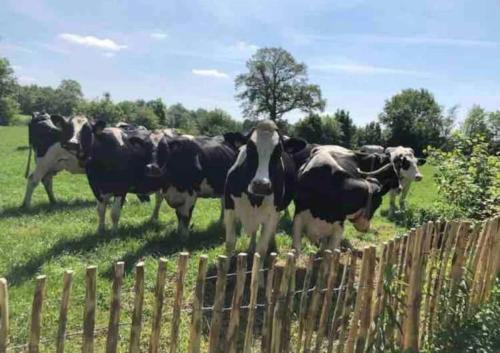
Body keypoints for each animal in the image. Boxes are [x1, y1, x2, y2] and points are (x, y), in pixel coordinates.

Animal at [224, 119, 308, 254]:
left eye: (279, 151)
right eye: (249, 148)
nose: (261, 185)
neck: (254, 199)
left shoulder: (271, 215)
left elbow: (261, 249)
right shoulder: (229, 209)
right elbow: (230, 244)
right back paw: (250, 247)